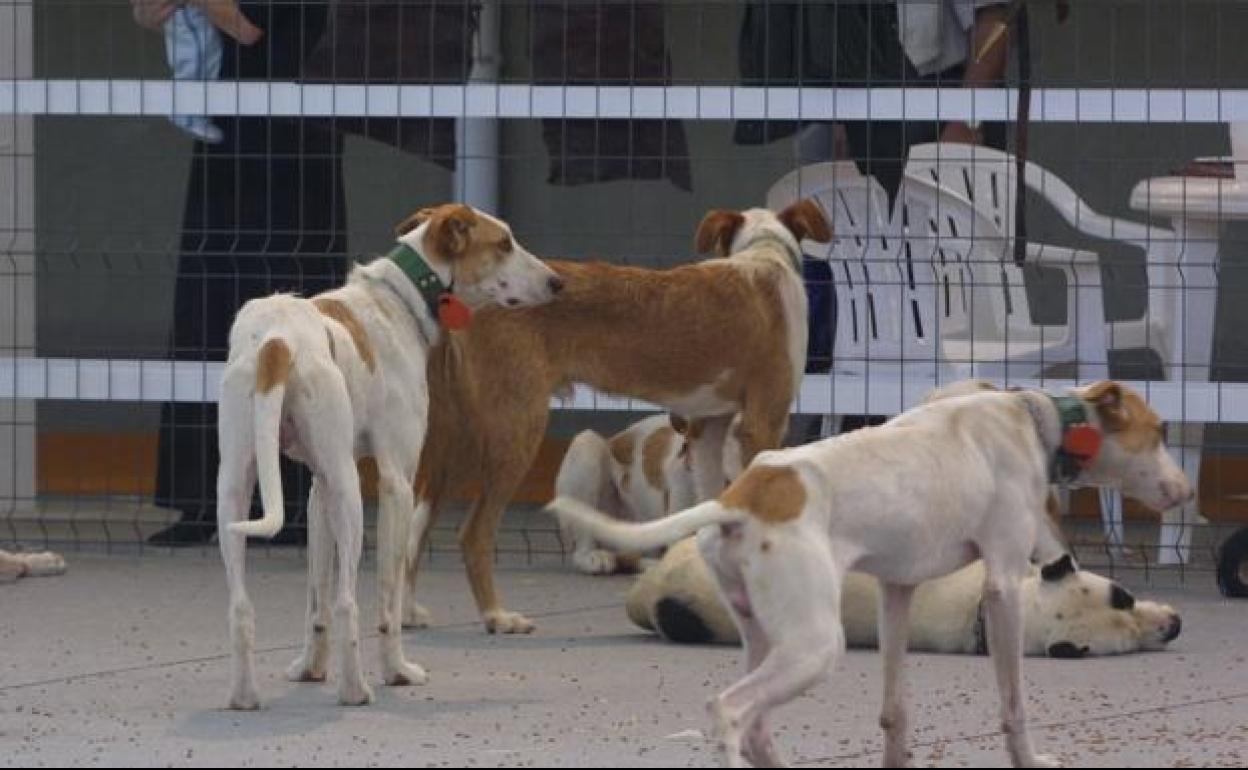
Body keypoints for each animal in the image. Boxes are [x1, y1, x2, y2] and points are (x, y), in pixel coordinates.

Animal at [215, 200, 561, 703]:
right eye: (503, 243)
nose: (558, 282)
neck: (399, 301)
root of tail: (279, 339)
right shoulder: (397, 483)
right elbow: (389, 598)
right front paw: (397, 670)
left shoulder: (319, 490)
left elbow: (315, 601)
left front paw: (309, 669)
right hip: (352, 496)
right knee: (347, 602)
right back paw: (356, 689)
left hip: (239, 492)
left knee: (243, 606)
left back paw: (244, 696)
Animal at [409, 200, 833, 633]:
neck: (765, 255)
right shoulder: (764, 420)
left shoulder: (707, 428)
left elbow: (711, 506)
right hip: (508, 432)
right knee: (474, 533)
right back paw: (497, 615)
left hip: (453, 441)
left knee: (415, 525)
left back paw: (406, 613)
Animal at [551, 381, 1193, 763]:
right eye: (1160, 431)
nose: (1187, 492)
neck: (1034, 422)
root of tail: (743, 495)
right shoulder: (1005, 587)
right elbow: (1014, 707)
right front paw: (1029, 759)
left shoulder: (897, 591)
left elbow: (895, 710)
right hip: (814, 645)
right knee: (729, 712)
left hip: (765, 635)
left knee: (757, 726)